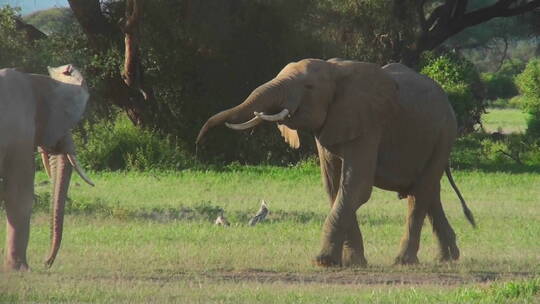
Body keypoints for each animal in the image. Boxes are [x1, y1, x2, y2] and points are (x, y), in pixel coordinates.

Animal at [0, 64, 94, 270]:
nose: (46, 262)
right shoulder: (20, 134)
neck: (34, 79)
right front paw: (21, 269)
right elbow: (19, 195)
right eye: (65, 117)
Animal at [196, 58, 474, 266]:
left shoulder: (369, 123)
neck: (335, 70)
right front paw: (352, 264)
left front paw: (323, 261)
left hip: (444, 134)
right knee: (429, 193)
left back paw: (404, 261)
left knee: (420, 193)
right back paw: (447, 258)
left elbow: (356, 187)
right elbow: (333, 185)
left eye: (308, 87)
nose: (199, 140)